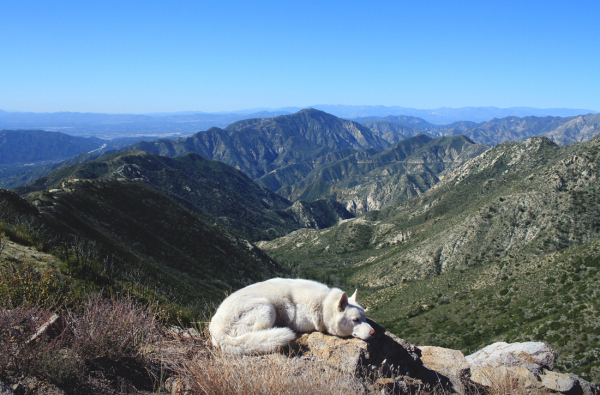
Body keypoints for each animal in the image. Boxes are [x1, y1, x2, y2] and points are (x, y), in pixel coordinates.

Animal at [209, 278, 372, 356]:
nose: (373, 332)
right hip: (266, 308)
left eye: (364, 318)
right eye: (355, 320)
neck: (323, 304)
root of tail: (217, 330)